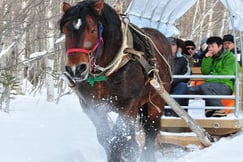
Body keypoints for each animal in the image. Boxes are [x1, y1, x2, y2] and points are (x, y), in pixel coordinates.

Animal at [59, 0, 173, 161]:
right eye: (65, 31)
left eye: (92, 30)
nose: (76, 69)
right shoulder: (92, 106)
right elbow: (106, 138)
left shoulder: (129, 104)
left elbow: (117, 140)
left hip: (156, 99)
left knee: (150, 131)